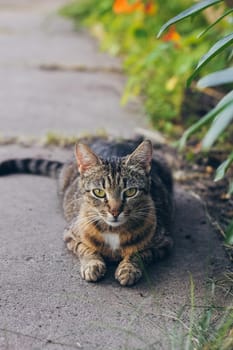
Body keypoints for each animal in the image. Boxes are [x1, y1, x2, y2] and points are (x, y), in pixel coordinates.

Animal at [0, 138, 173, 286]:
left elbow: (140, 253)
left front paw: (128, 268)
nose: (115, 211)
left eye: (130, 192)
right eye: (99, 192)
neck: (113, 230)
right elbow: (85, 248)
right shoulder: (70, 234)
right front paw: (93, 264)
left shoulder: (163, 242)